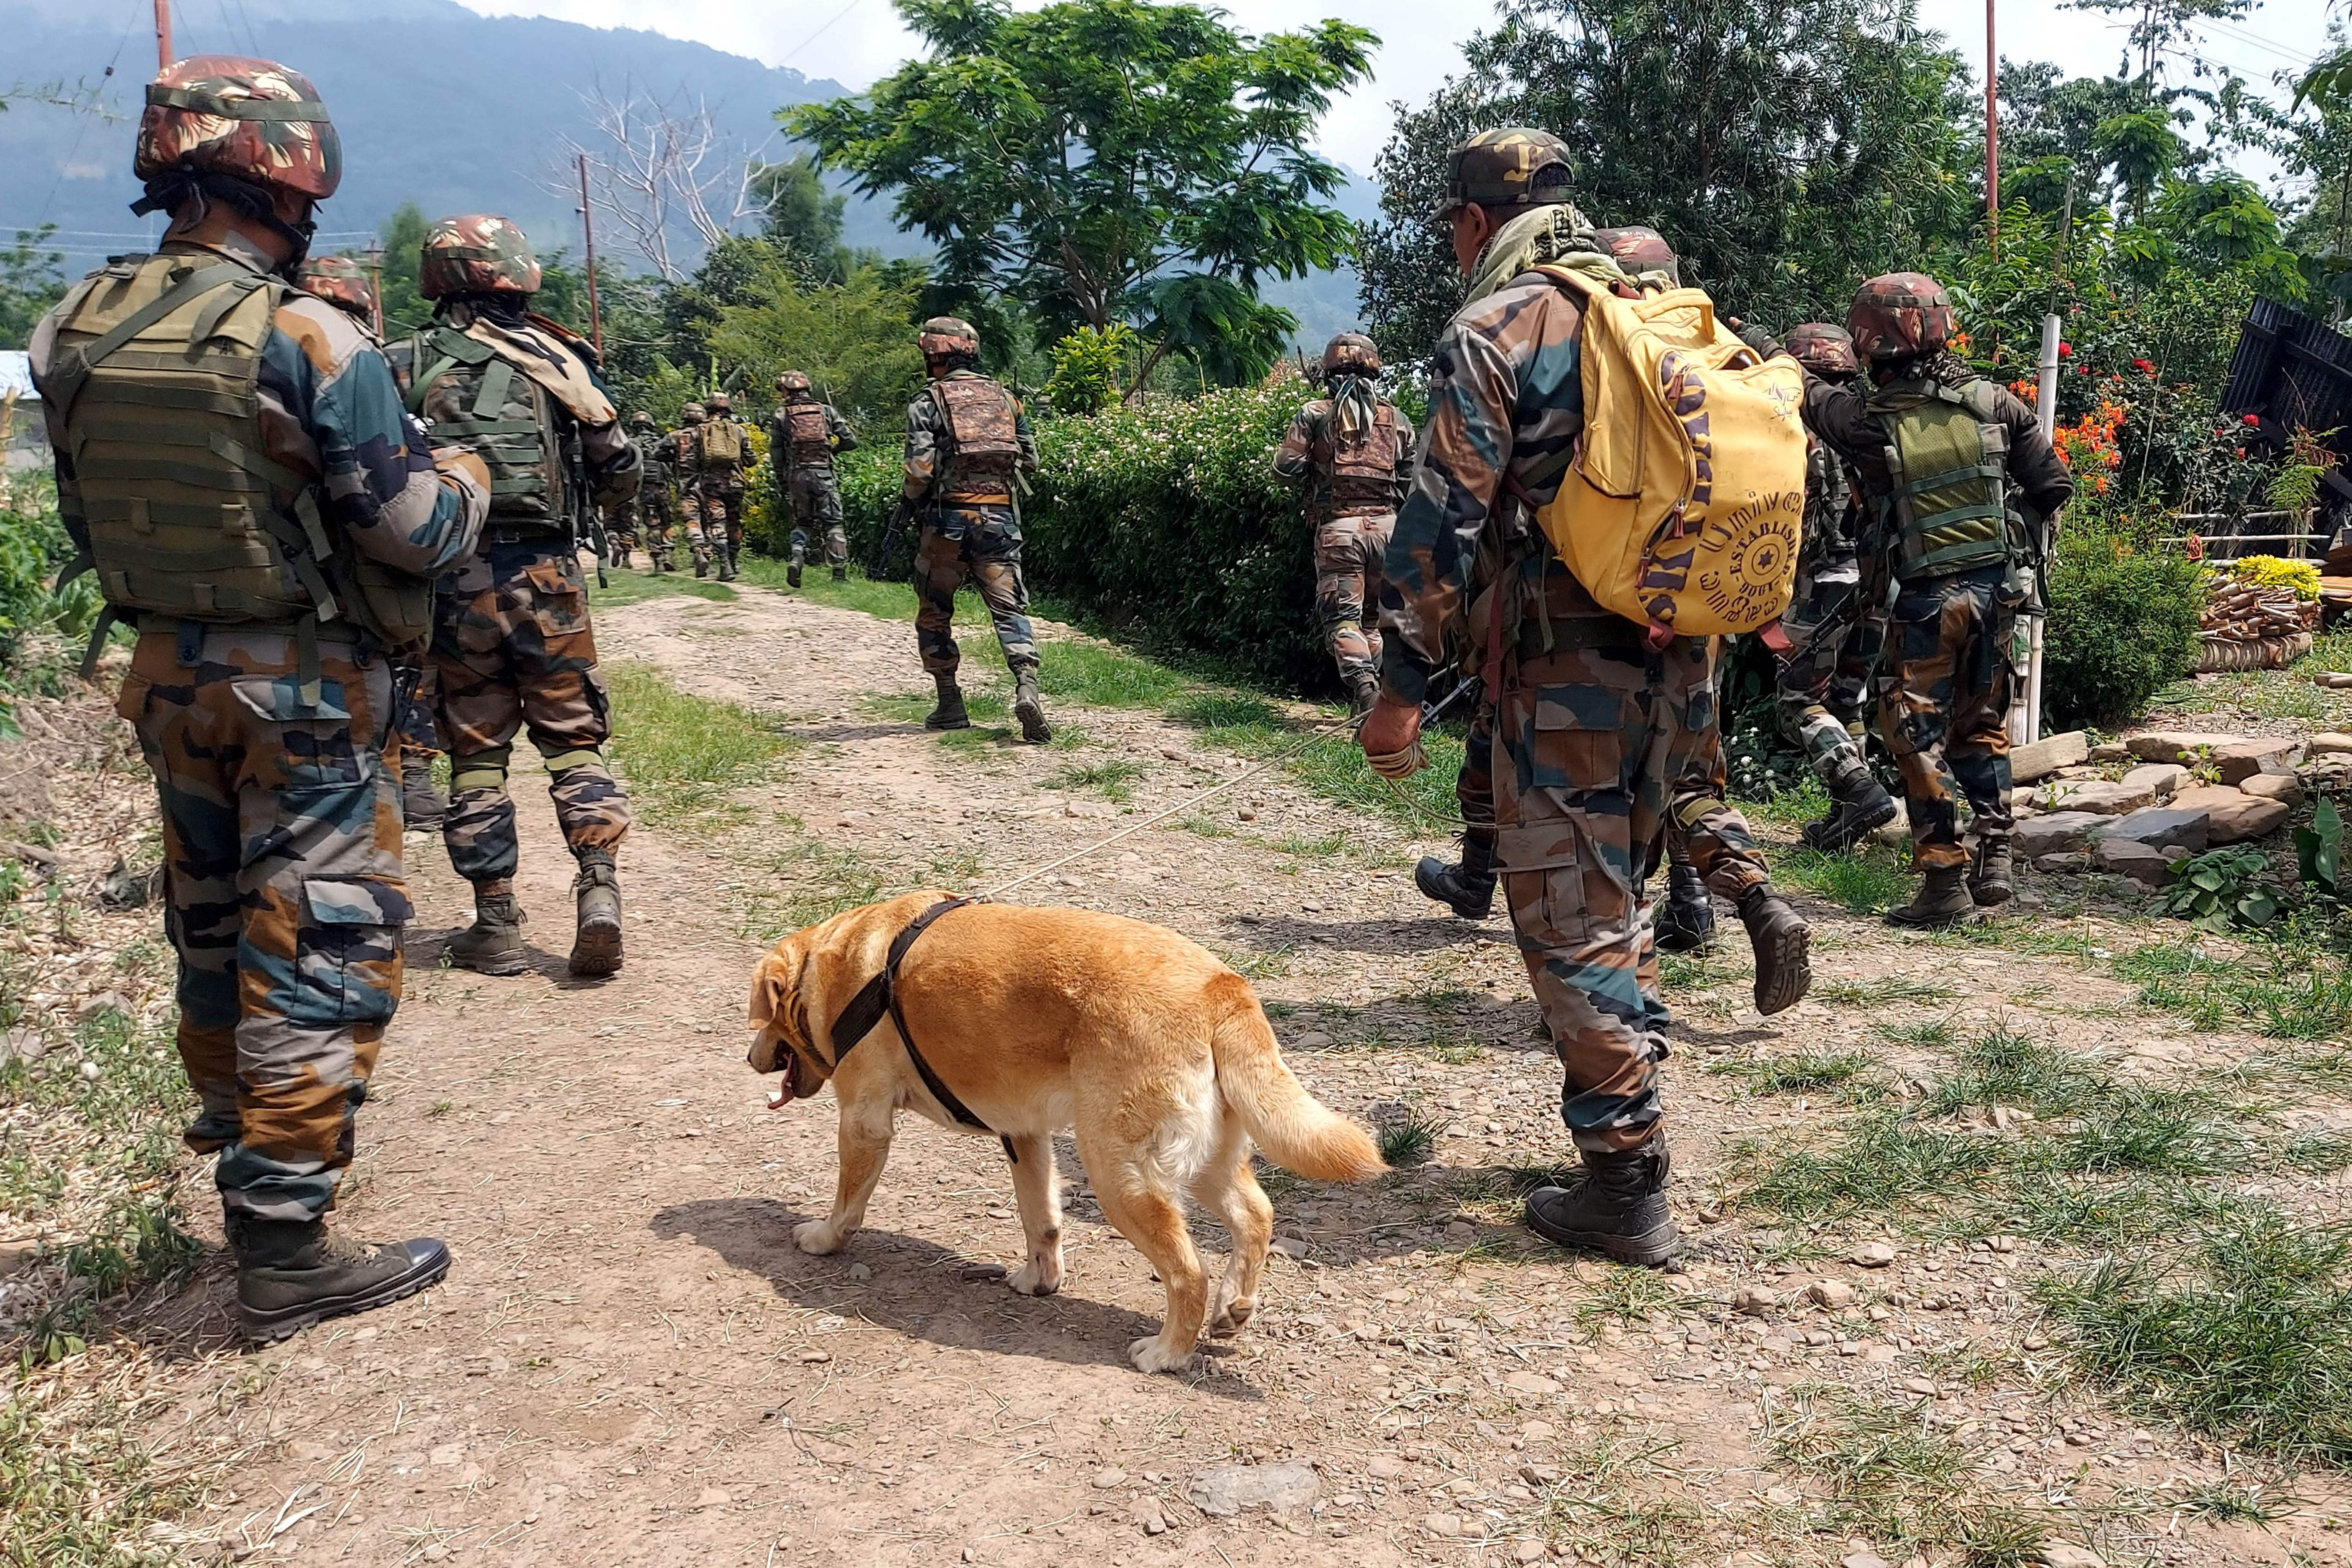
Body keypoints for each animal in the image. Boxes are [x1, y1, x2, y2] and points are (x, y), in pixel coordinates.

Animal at [743, 893, 1383, 1373]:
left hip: (1119, 1174)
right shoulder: (1023, 1134)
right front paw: (1039, 1279)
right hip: (1202, 1159)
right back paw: (1235, 1304)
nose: (750, 1058)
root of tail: (1221, 987)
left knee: (1188, 1271)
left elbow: (847, 1203)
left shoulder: (865, 1121)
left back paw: (1167, 1352)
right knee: (1255, 1214)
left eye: (761, 1019)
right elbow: (1041, 1220)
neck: (840, 961)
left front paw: (823, 1238)